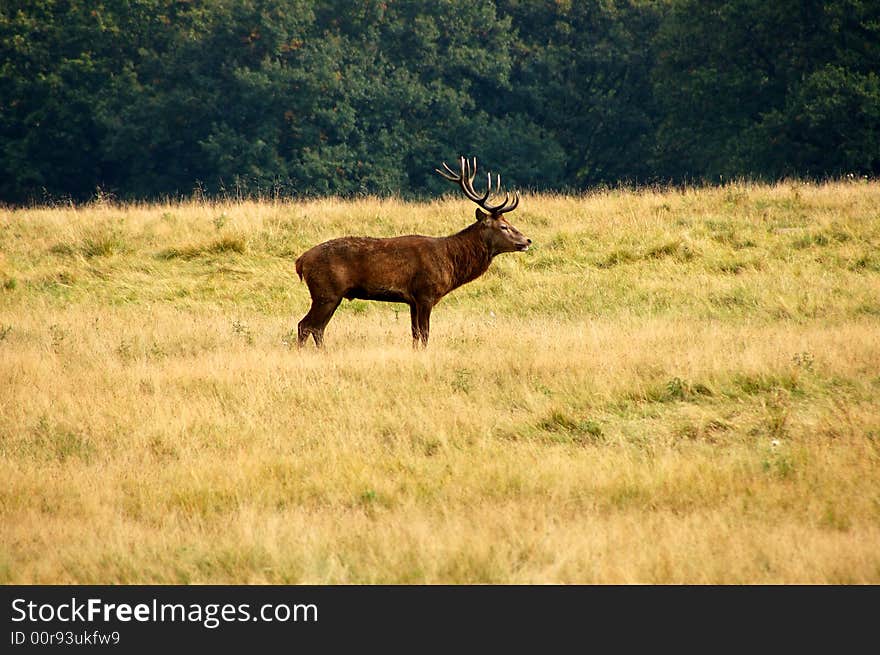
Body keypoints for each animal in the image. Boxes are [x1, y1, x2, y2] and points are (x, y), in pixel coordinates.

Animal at [294, 158, 528, 348]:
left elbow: (415, 335)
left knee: (317, 328)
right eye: (504, 226)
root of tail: (301, 261)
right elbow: (424, 335)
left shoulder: (412, 300)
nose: (527, 240)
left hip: (331, 295)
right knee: (305, 325)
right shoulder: (425, 293)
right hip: (326, 291)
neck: (451, 262)